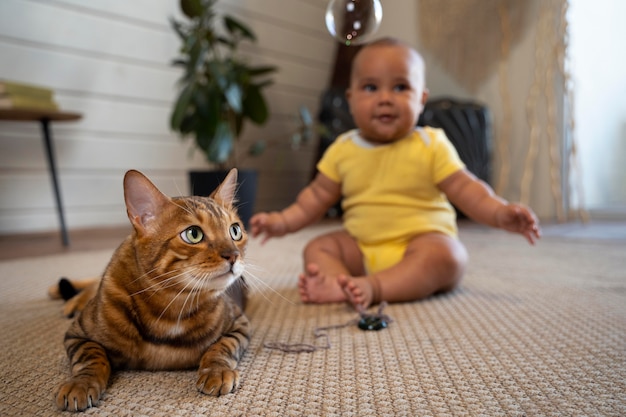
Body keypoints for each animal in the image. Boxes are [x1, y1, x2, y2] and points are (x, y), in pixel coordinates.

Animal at [49, 168, 249, 410]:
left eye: (235, 231)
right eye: (193, 234)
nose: (234, 255)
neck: (172, 304)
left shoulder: (239, 324)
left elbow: (222, 346)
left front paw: (217, 371)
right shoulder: (77, 334)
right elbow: (92, 356)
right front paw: (81, 383)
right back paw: (66, 297)